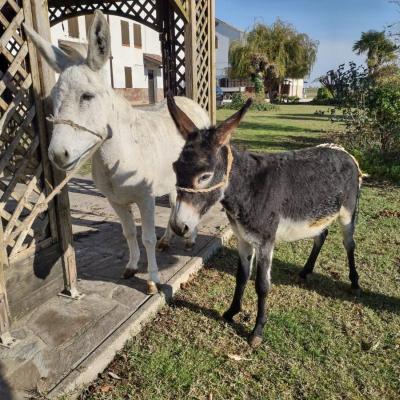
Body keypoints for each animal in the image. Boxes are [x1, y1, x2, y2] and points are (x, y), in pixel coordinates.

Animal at [166, 97, 362, 346]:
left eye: (205, 176)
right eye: (175, 168)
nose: (178, 226)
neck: (248, 188)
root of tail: (344, 152)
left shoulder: (266, 242)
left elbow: (262, 286)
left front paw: (257, 330)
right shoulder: (243, 239)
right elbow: (241, 276)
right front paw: (231, 312)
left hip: (347, 212)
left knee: (349, 244)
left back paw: (354, 282)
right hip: (320, 213)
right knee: (322, 235)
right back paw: (306, 271)